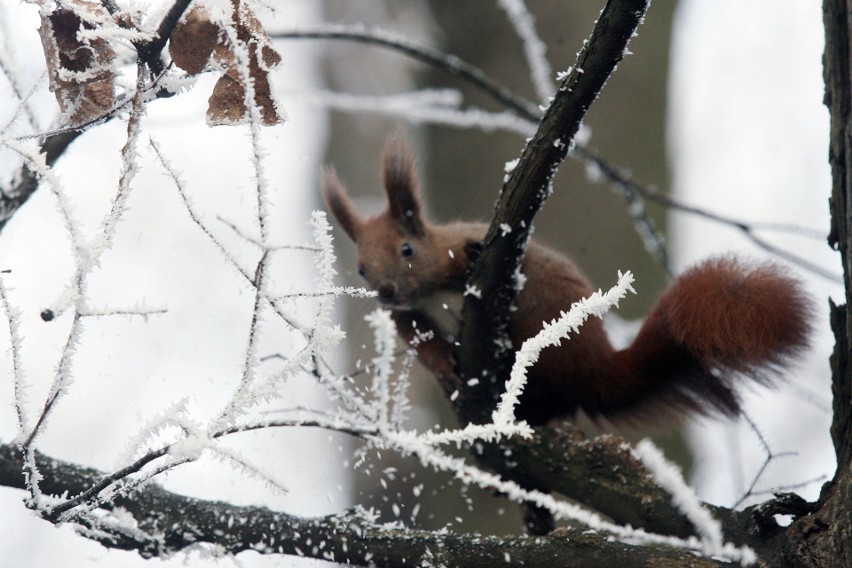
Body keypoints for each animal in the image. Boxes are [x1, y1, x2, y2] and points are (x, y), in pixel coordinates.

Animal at [322, 141, 816, 426]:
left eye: (406, 249)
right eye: (361, 269)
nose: (385, 291)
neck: (427, 290)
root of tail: (597, 371)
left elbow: (474, 260)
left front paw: (474, 257)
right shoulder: (406, 317)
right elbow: (422, 344)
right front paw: (444, 368)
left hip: (546, 324)